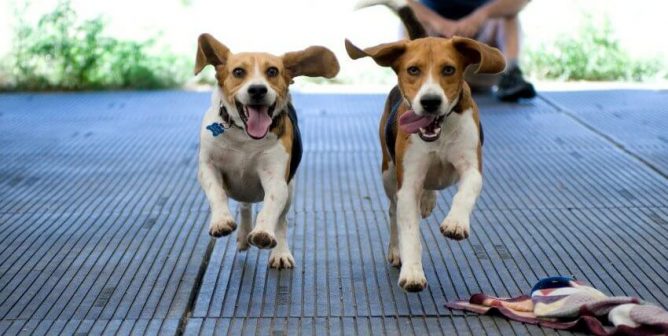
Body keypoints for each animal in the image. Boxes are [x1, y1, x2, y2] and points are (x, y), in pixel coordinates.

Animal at [193, 33, 340, 270]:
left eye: (272, 71)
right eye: (238, 72)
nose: (257, 90)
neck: (245, 137)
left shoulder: (276, 180)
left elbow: (269, 208)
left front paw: (262, 233)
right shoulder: (208, 167)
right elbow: (217, 192)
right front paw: (221, 221)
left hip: (290, 190)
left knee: (281, 221)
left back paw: (279, 251)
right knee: (244, 206)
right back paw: (243, 235)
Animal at [348, 1, 504, 292]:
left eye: (449, 70)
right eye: (413, 70)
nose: (430, 101)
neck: (439, 133)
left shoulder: (472, 167)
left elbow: (465, 193)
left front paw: (455, 223)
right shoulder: (407, 184)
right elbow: (410, 232)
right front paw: (412, 272)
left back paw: (430, 201)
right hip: (388, 174)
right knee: (393, 212)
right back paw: (396, 249)